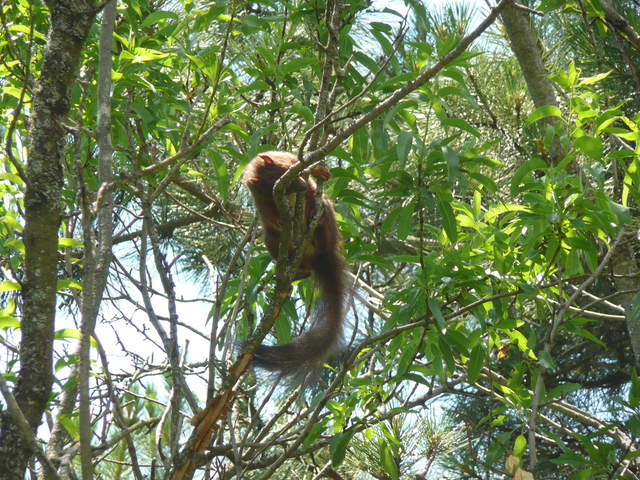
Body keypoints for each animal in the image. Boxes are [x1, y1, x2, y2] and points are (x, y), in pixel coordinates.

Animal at [242, 151, 346, 376]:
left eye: (284, 175)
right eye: (274, 189)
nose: (302, 186)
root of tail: (318, 258)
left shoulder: (290, 158)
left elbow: (304, 162)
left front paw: (320, 171)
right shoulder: (261, 201)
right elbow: (269, 216)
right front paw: (280, 221)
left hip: (326, 225)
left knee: (324, 216)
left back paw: (318, 217)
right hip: (272, 242)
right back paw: (298, 271)